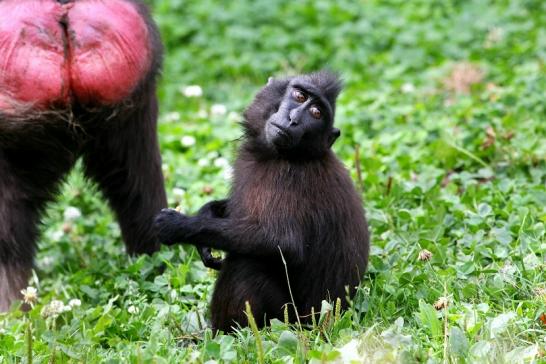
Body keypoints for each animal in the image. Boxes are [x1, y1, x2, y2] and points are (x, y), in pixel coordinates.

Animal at [154, 71, 370, 332]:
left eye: (316, 113)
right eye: (299, 96)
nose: (293, 119)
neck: (291, 155)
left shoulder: (287, 179)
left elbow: (283, 242)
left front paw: (179, 225)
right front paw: (205, 217)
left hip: (289, 318)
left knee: (246, 265)